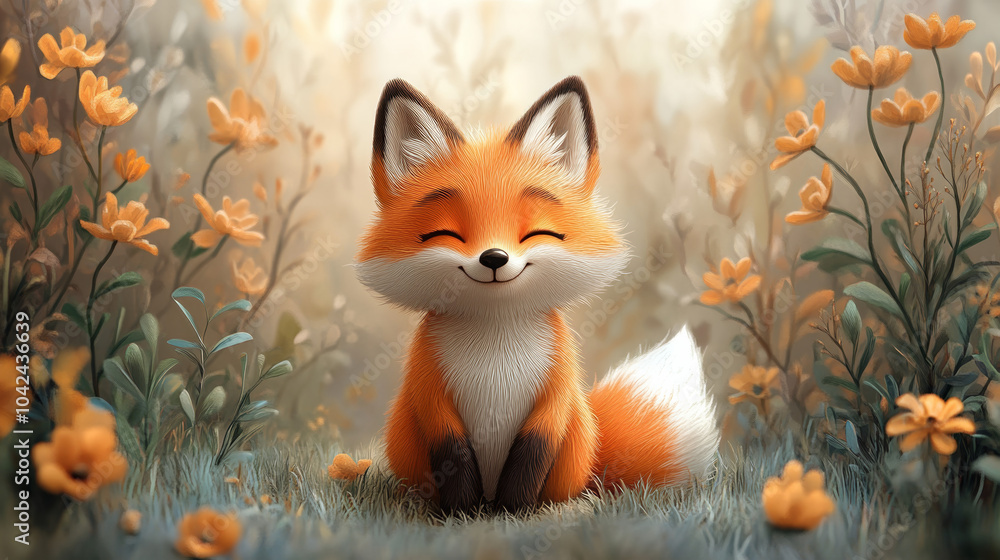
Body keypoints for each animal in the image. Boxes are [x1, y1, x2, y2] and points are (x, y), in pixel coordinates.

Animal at [355, 76, 719, 514]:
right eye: (445, 233)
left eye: (537, 232)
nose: (494, 258)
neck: (495, 342)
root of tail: (595, 461)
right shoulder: (428, 387)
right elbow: (452, 454)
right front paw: (462, 513)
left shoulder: (558, 387)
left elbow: (533, 450)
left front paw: (516, 512)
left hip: (575, 444)